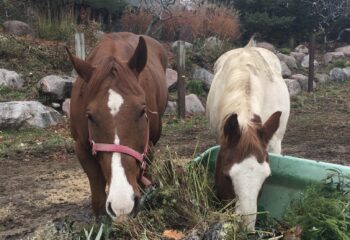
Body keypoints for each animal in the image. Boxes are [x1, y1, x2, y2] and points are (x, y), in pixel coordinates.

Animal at [68, 32, 168, 222]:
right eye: (89, 116)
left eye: (142, 111)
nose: (123, 204)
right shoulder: (81, 149)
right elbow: (98, 199)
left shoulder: (147, 148)